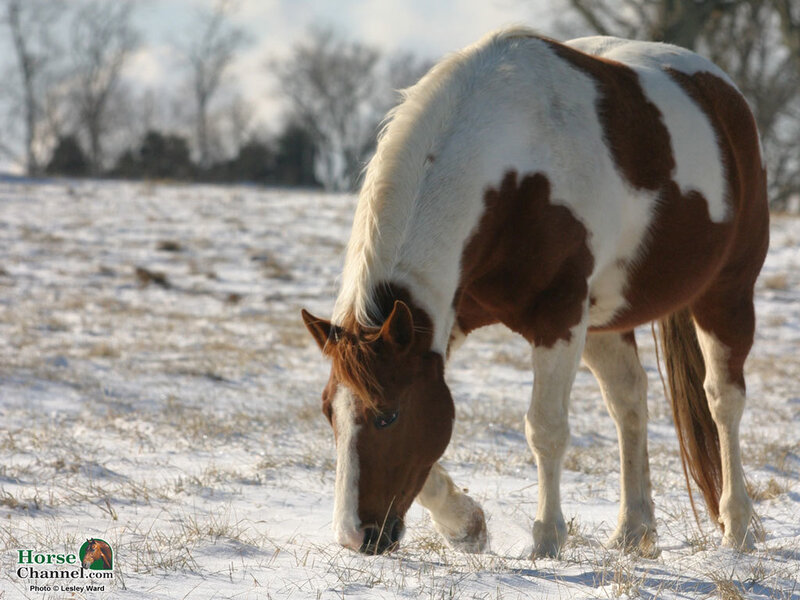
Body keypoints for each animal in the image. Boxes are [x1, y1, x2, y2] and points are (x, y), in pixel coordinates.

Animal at [301, 28, 769, 557]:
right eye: (329, 413)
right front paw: (465, 523)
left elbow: (545, 429)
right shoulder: (447, 323)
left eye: (387, 416)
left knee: (723, 401)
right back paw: (634, 529)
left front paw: (546, 540)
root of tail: (724, 93)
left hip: (726, 295)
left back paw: (739, 527)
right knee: (629, 399)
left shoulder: (557, 317)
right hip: (606, 321)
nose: (354, 536)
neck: (515, 170)